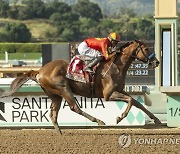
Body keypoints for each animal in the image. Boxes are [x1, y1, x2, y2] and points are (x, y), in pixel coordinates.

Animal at [0, 40, 160, 132]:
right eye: (146, 49)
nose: (156, 62)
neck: (116, 66)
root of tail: (40, 71)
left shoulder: (119, 90)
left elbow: (137, 103)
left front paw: (156, 119)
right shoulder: (108, 94)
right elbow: (131, 101)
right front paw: (120, 117)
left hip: (55, 95)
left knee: (53, 114)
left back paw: (59, 133)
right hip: (64, 89)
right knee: (74, 107)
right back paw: (98, 121)